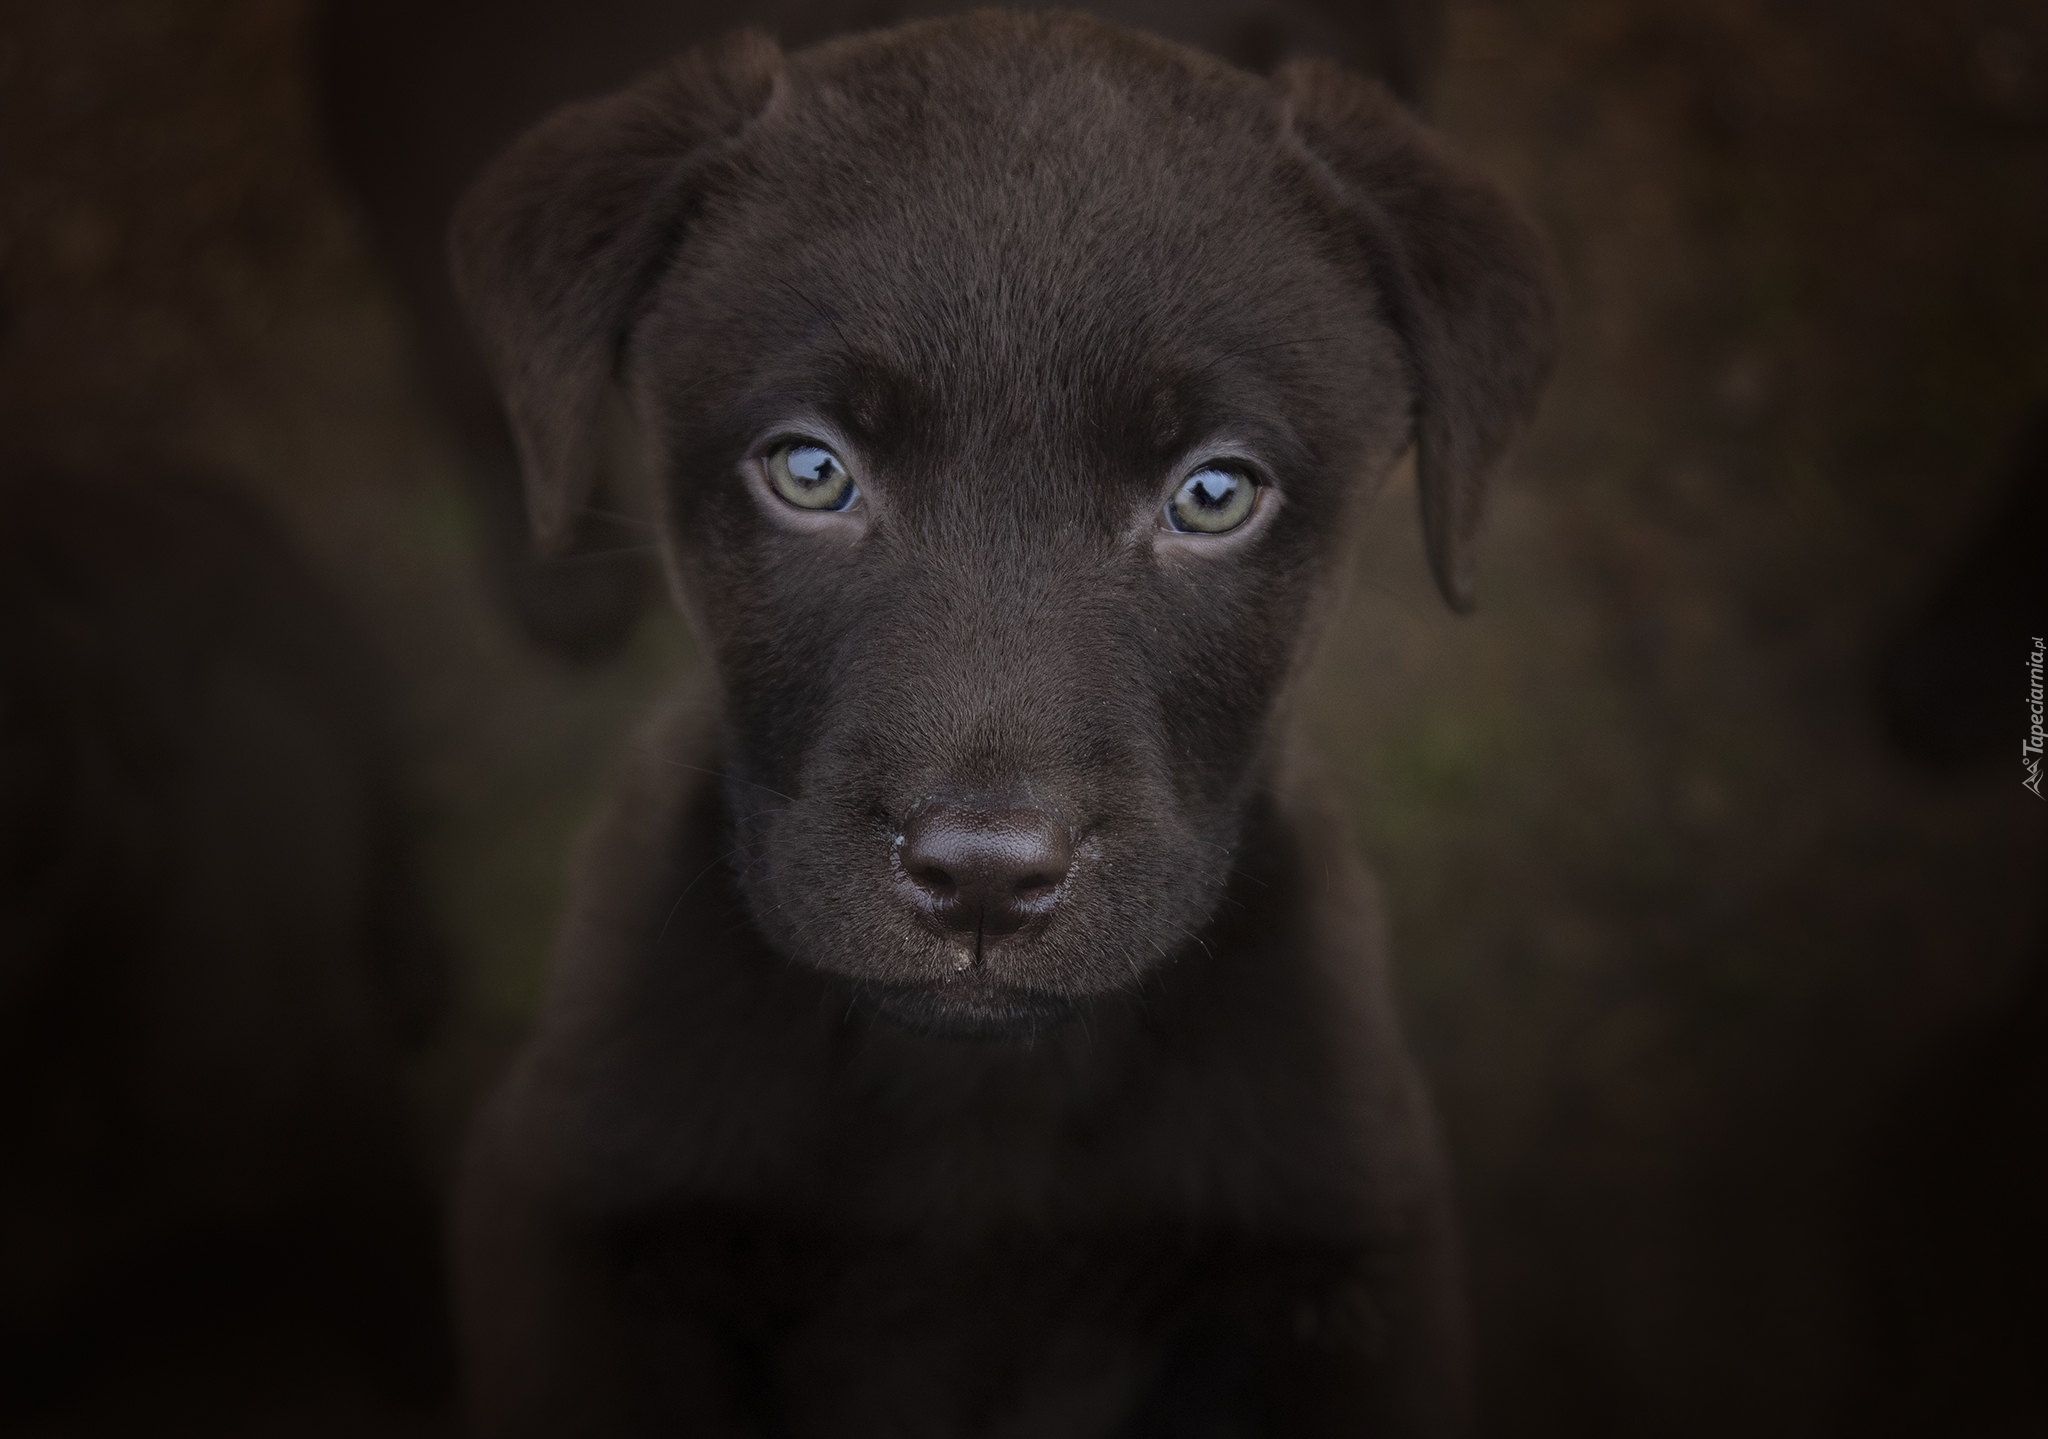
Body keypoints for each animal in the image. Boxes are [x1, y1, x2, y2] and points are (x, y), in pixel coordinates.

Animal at [444, 8, 1540, 1432]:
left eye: (1212, 494)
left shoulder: (1360, 1257)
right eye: (810, 470)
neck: (973, 1100)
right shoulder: (563, 1211)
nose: (980, 879)